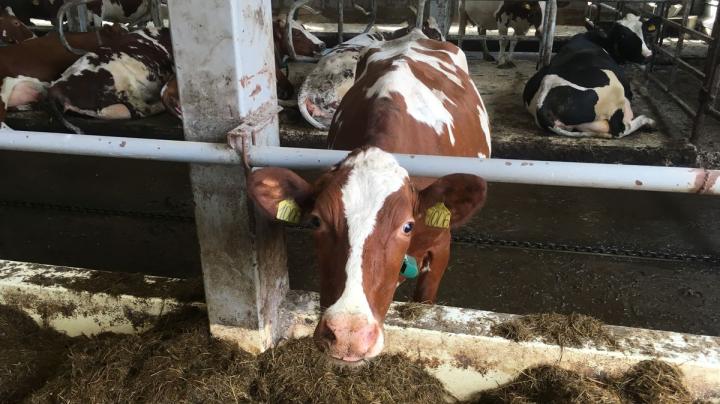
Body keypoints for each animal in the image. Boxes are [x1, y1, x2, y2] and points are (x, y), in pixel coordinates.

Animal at [523, 14, 658, 138]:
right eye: (622, 36)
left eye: (645, 32)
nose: (648, 55)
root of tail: (542, 106)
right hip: (616, 91)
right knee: (620, 129)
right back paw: (648, 121)